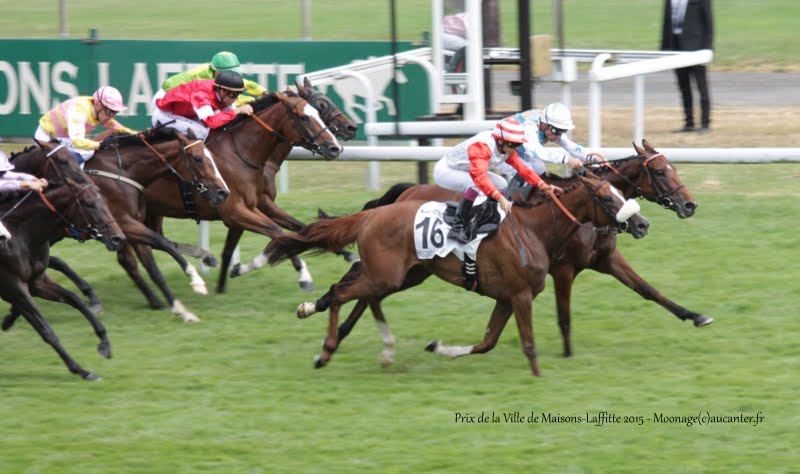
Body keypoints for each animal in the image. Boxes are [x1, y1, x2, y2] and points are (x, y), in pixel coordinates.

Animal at [0, 139, 126, 380]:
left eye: (104, 201)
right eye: (89, 204)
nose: (118, 238)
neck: (16, 232)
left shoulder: (36, 281)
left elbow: (75, 299)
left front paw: (104, 343)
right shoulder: (13, 287)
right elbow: (46, 330)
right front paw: (81, 370)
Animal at [266, 174, 648, 378]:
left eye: (621, 192)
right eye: (606, 198)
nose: (642, 223)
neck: (533, 230)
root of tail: (370, 216)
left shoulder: (507, 297)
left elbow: (487, 342)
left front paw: (440, 348)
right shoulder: (521, 295)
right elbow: (527, 343)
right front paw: (539, 378)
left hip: (405, 275)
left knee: (361, 295)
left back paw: (379, 347)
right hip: (386, 275)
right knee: (340, 292)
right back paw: (325, 350)